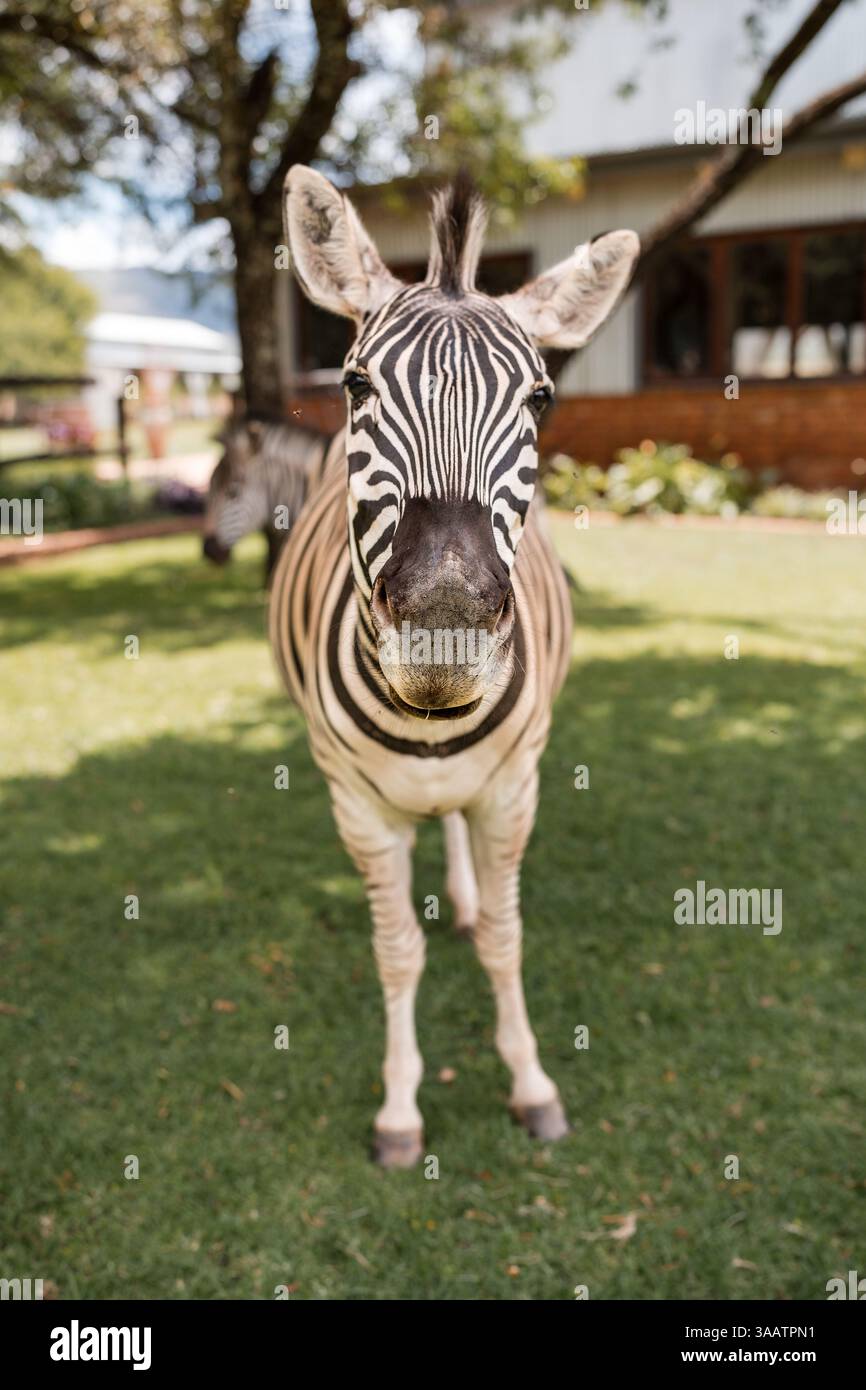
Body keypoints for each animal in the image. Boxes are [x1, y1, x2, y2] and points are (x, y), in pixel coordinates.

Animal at [270, 165, 638, 1167]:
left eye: (542, 400)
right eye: (355, 383)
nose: (445, 632)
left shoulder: (513, 789)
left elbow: (507, 941)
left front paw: (532, 1085)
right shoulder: (358, 807)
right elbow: (397, 950)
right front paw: (400, 1108)